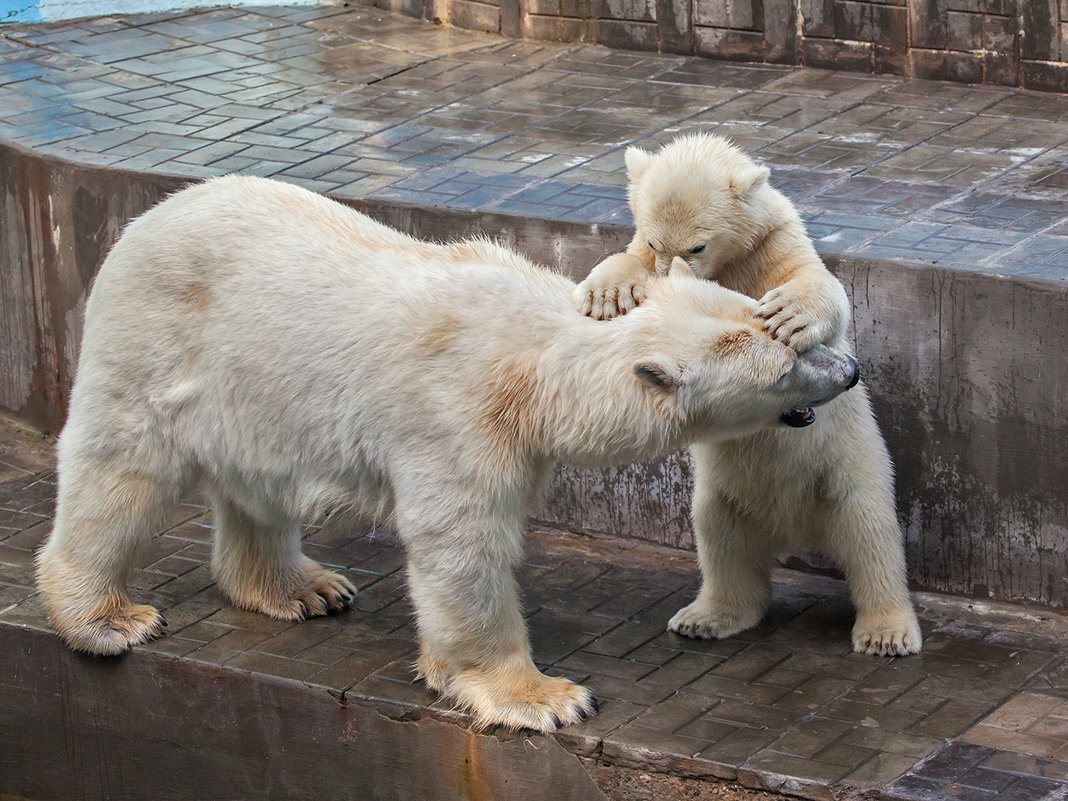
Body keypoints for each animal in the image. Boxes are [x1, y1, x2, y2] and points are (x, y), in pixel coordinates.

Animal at [35, 174, 858, 734]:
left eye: (778, 329)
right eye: (785, 365)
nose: (850, 370)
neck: (535, 362)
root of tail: (146, 218)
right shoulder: (457, 414)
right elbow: (461, 545)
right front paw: (543, 696)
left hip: (253, 391)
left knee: (255, 484)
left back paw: (302, 588)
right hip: (159, 337)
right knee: (121, 468)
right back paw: (106, 617)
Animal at [572, 131, 922, 657]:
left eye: (698, 244)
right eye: (655, 240)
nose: (670, 270)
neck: (729, 263)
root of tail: (793, 529)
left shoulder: (774, 245)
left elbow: (817, 284)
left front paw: (790, 315)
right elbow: (629, 263)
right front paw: (608, 293)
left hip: (848, 472)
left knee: (871, 540)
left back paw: (887, 632)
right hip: (724, 492)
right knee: (721, 540)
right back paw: (708, 616)